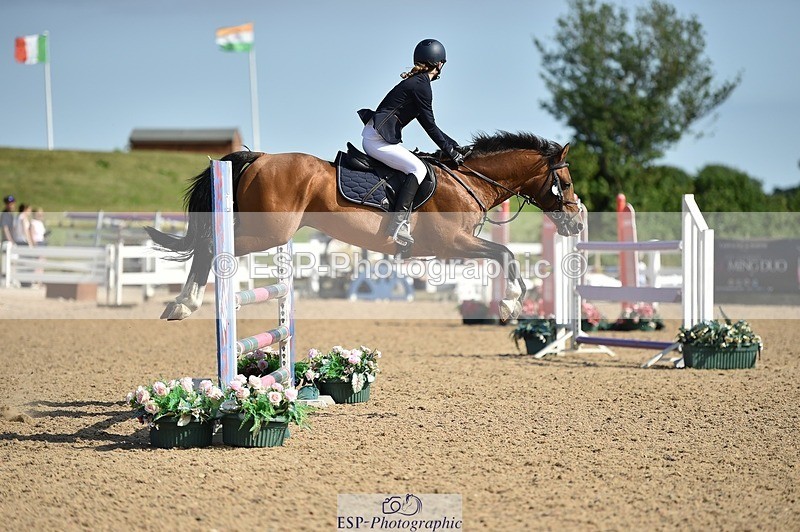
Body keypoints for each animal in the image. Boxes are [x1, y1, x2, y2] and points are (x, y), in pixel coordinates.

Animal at [145, 131, 584, 321]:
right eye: (565, 181)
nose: (578, 223)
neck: (469, 179)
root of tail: (260, 157)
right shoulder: (452, 244)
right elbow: (506, 253)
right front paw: (510, 303)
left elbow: (505, 255)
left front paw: (512, 302)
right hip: (270, 232)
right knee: (210, 246)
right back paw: (184, 303)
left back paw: (183, 302)